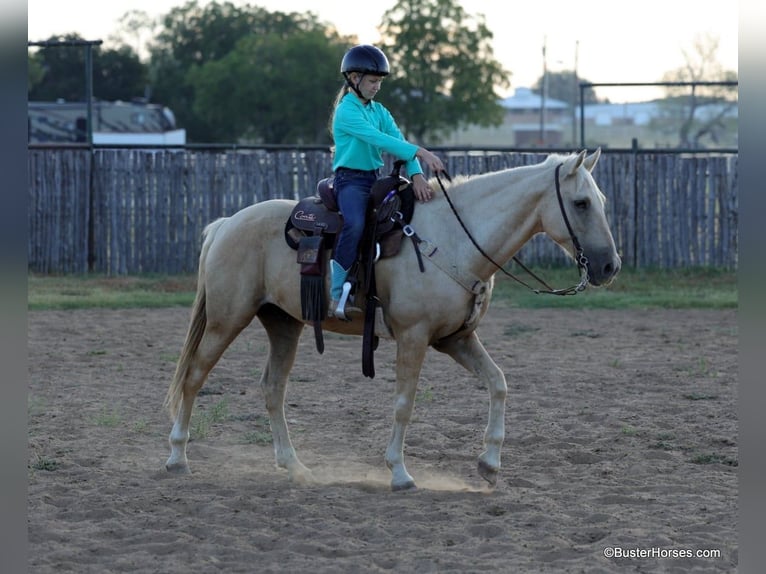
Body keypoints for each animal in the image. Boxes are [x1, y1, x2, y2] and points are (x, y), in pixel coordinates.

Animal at [163, 149, 621, 491]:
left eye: (602, 202)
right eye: (580, 203)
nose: (609, 266)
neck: (455, 239)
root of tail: (227, 223)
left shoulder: (456, 338)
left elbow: (498, 383)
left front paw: (489, 464)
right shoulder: (414, 338)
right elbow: (404, 403)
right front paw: (399, 472)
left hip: (283, 323)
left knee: (272, 388)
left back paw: (294, 467)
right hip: (226, 319)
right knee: (194, 376)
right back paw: (177, 457)